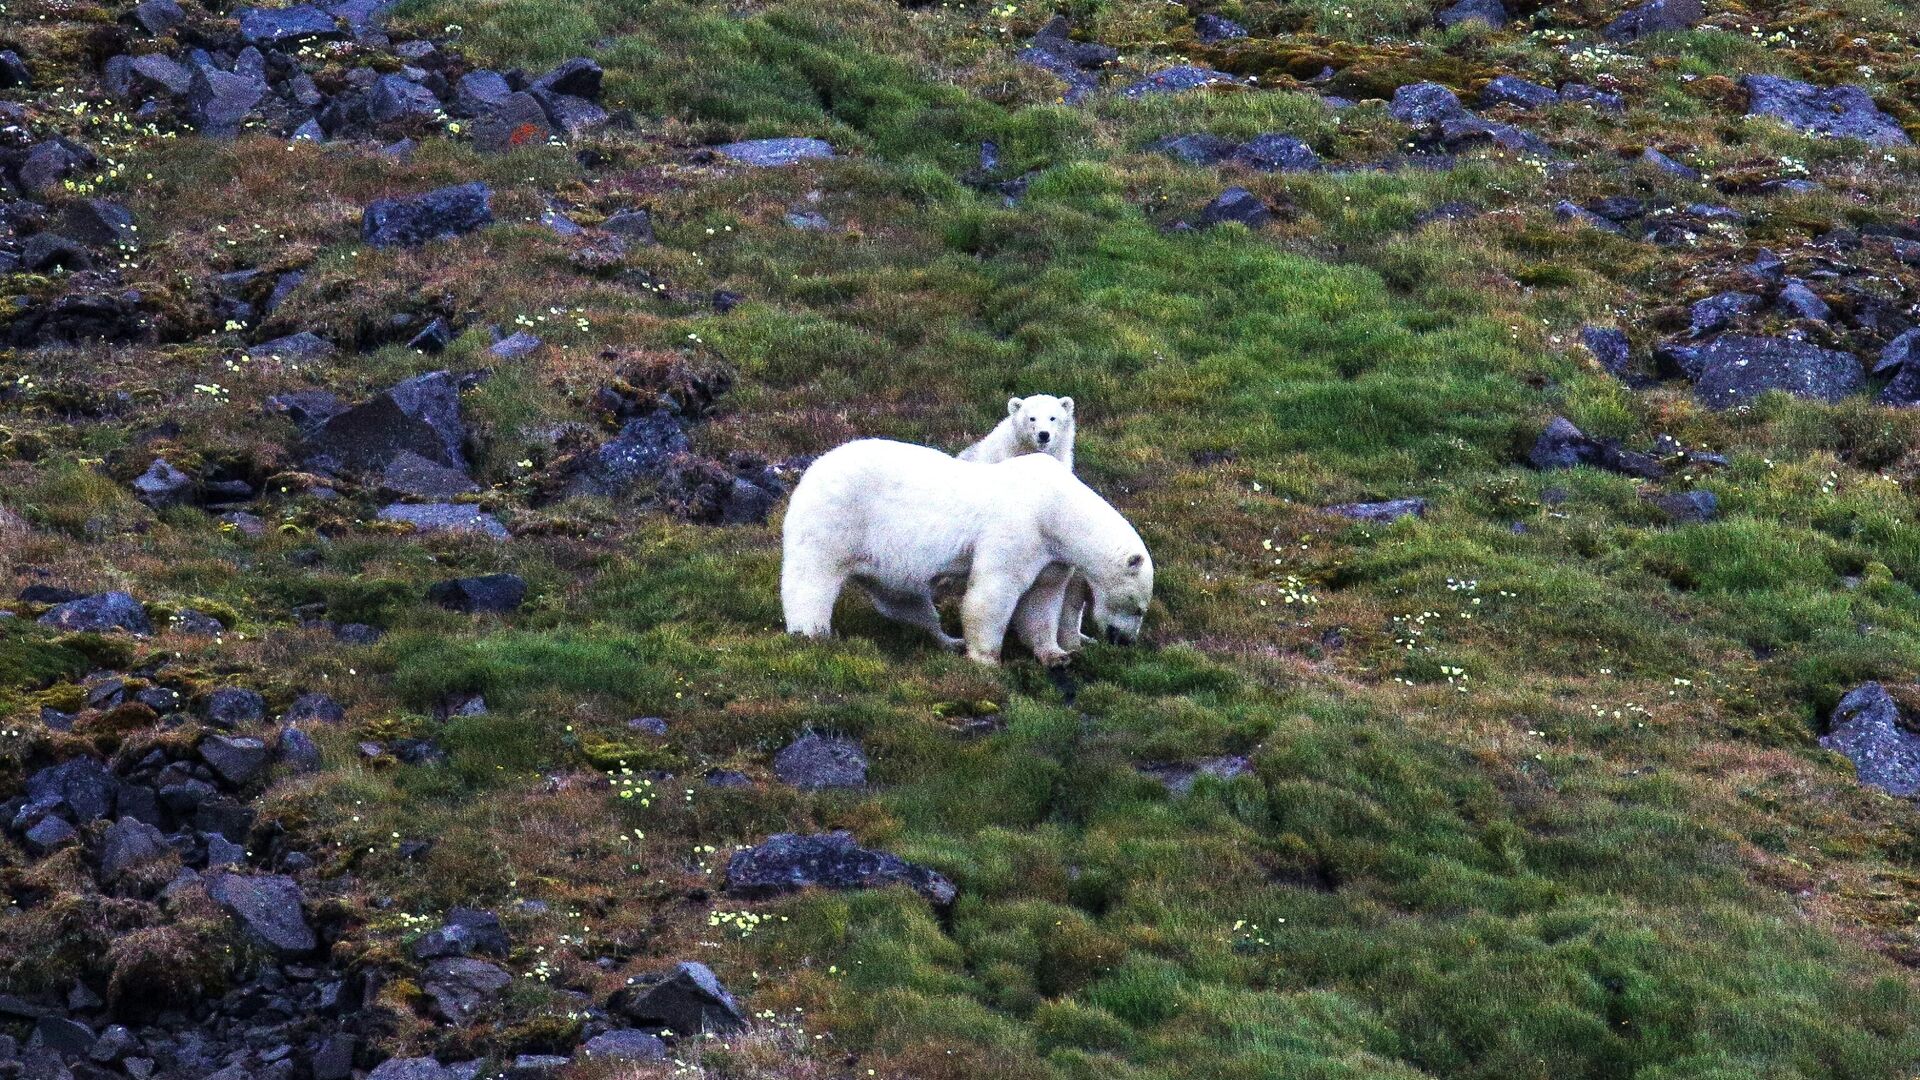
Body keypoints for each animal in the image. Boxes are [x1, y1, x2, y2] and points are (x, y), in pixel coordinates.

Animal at [779, 440, 1152, 664]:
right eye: (1138, 608)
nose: (1125, 641)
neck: (1057, 507)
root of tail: (813, 469)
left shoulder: (1050, 553)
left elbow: (1041, 598)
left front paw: (1055, 654)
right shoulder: (1018, 528)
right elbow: (994, 592)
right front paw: (987, 660)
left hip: (882, 562)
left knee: (907, 602)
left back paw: (948, 640)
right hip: (836, 521)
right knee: (811, 581)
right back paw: (812, 634)